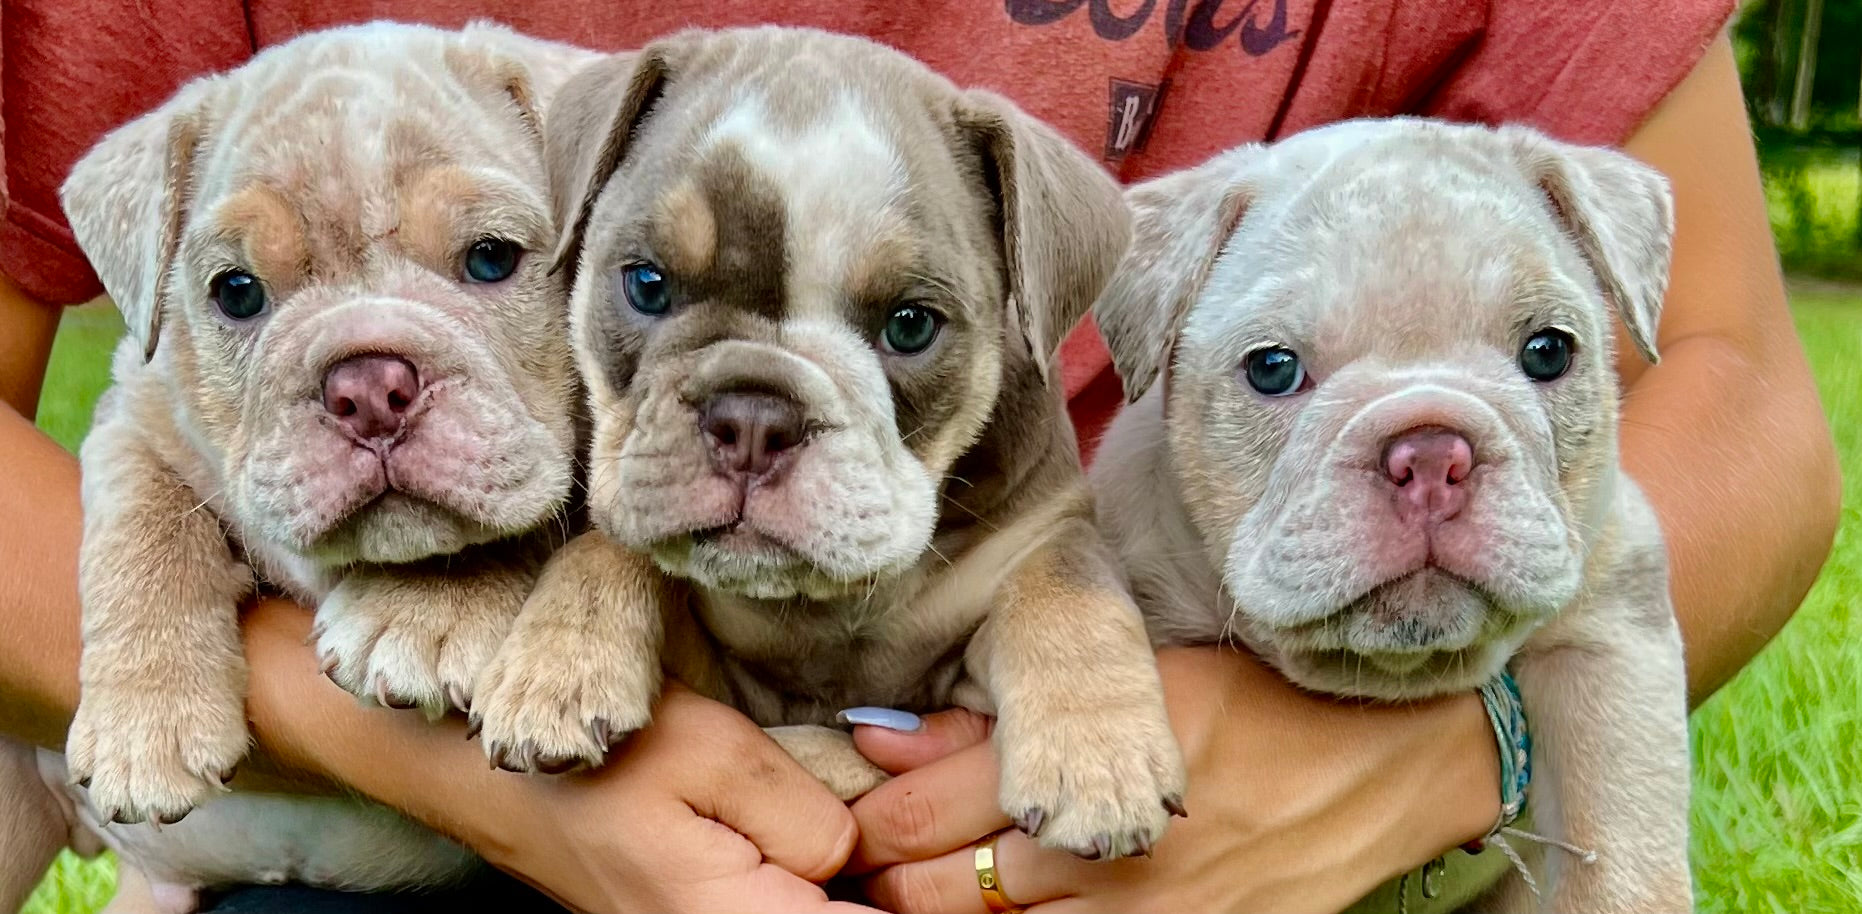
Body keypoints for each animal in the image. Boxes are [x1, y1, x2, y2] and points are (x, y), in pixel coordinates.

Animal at [5, 21, 588, 914]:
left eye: (492, 259)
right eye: (237, 291)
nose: (369, 387)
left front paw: (429, 607)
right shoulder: (134, 415)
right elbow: (145, 530)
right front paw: (148, 719)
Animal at [472, 26, 1184, 860]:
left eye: (910, 326)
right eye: (646, 284)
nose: (753, 416)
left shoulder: (1046, 529)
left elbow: (1068, 593)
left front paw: (1099, 761)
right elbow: (609, 545)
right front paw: (556, 668)